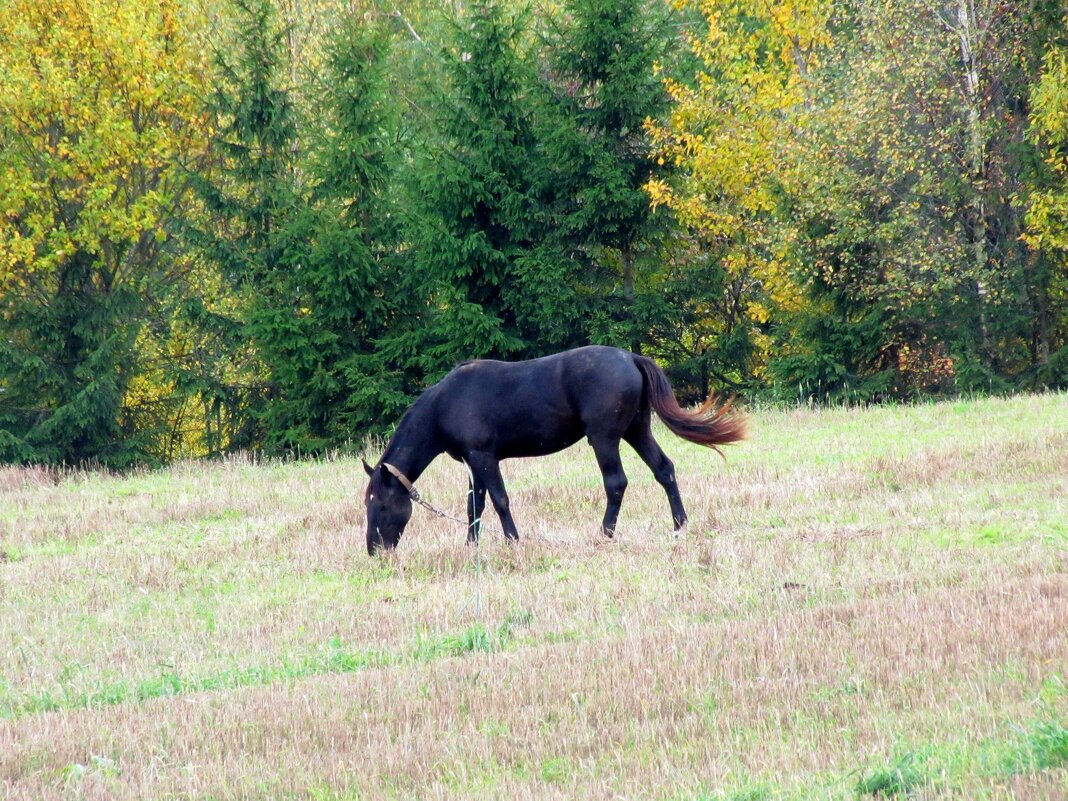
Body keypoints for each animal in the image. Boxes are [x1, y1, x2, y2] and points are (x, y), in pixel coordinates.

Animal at [363, 346, 747, 559]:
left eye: (380, 505)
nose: (374, 550)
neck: (446, 403)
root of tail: (631, 357)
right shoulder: (473, 464)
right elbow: (475, 505)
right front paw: (471, 546)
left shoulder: (484, 458)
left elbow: (499, 501)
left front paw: (513, 541)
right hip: (637, 431)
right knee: (664, 470)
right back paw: (679, 525)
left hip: (605, 438)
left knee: (616, 483)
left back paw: (605, 533)